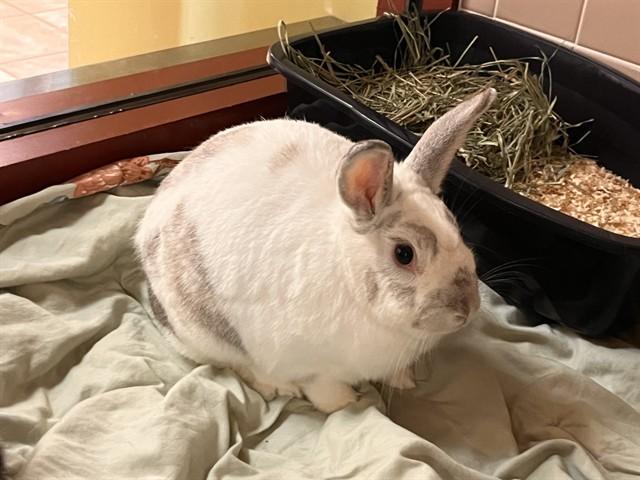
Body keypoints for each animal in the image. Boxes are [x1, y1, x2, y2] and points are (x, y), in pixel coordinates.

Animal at [135, 88, 496, 413]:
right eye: (404, 254)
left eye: (455, 226)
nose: (467, 309)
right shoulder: (309, 366)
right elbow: (323, 389)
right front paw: (346, 403)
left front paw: (404, 381)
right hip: (203, 334)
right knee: (234, 363)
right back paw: (275, 386)